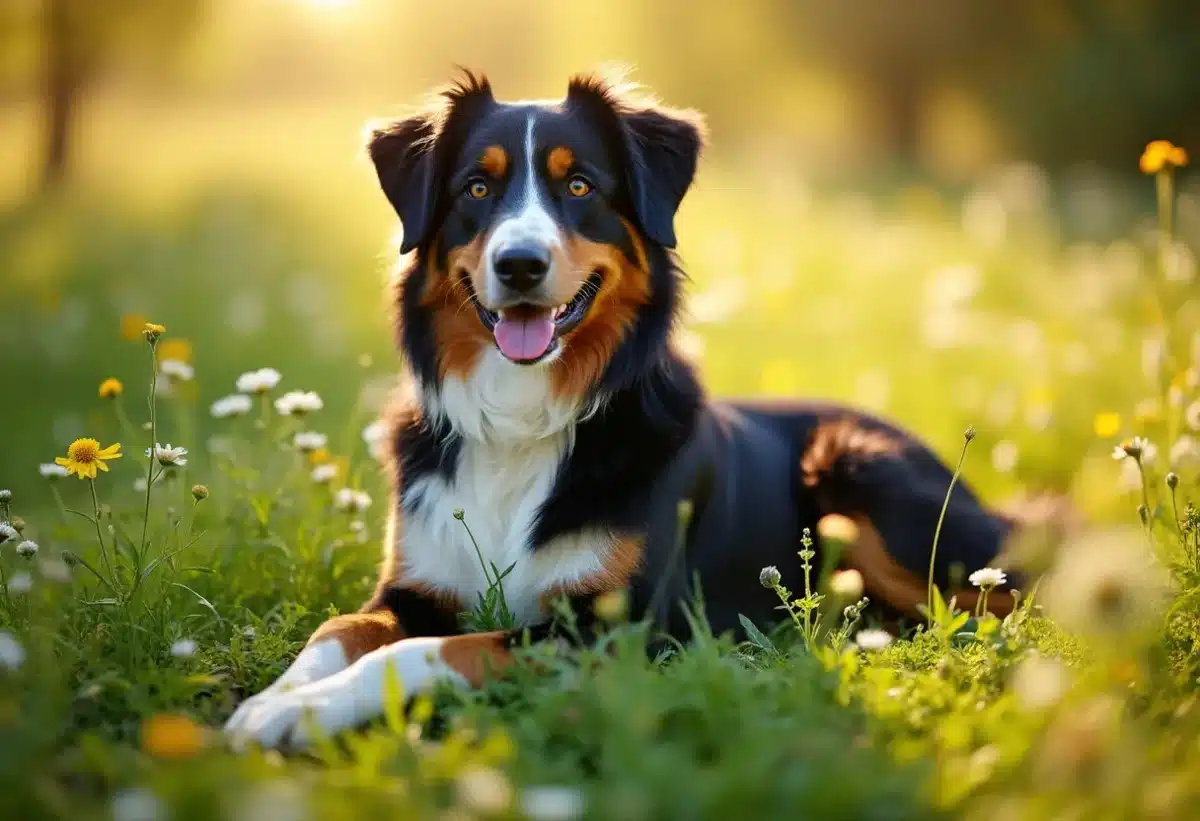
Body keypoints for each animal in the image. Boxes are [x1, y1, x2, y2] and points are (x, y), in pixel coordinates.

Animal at [223, 70, 1022, 748]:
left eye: (579, 184)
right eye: (476, 187)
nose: (519, 265)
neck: (521, 422)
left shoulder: (613, 628)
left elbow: (427, 652)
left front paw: (311, 709)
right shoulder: (412, 587)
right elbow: (338, 628)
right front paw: (275, 701)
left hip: (864, 472)